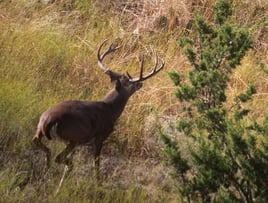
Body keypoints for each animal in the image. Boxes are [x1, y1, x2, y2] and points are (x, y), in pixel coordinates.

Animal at [32, 38, 164, 180]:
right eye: (131, 84)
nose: (140, 84)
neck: (110, 109)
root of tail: (47, 121)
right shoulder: (101, 136)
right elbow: (97, 164)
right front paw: (98, 182)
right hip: (73, 137)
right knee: (58, 157)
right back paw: (65, 166)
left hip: (44, 131)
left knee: (41, 146)